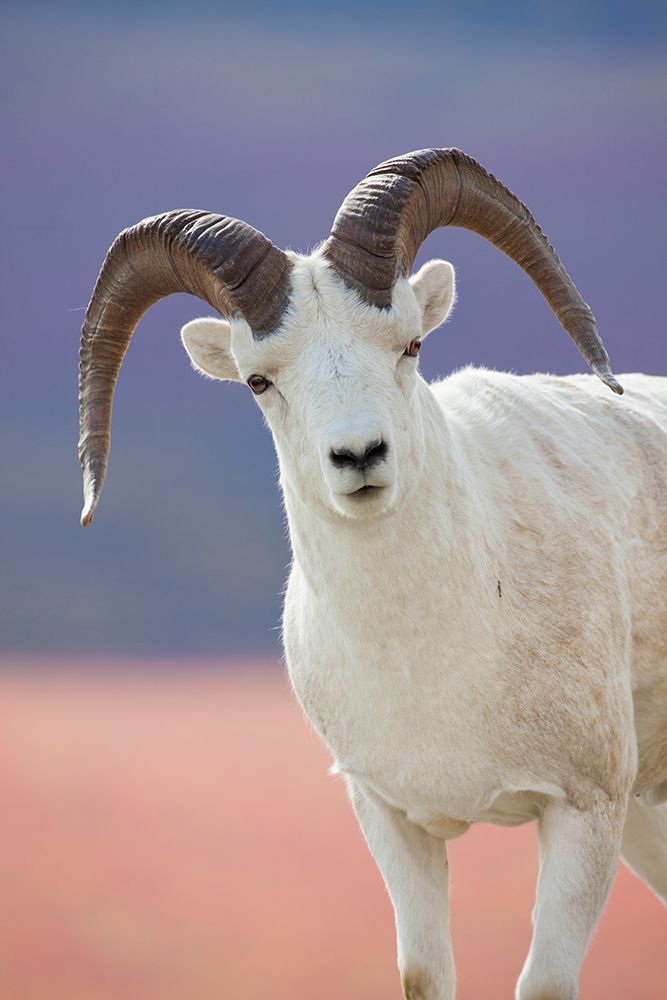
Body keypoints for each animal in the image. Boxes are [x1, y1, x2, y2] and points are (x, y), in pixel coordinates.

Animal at [78, 148, 667, 1000]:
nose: (359, 457)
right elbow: (423, 973)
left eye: (409, 344)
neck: (431, 651)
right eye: (259, 380)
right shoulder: (392, 822)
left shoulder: (584, 814)